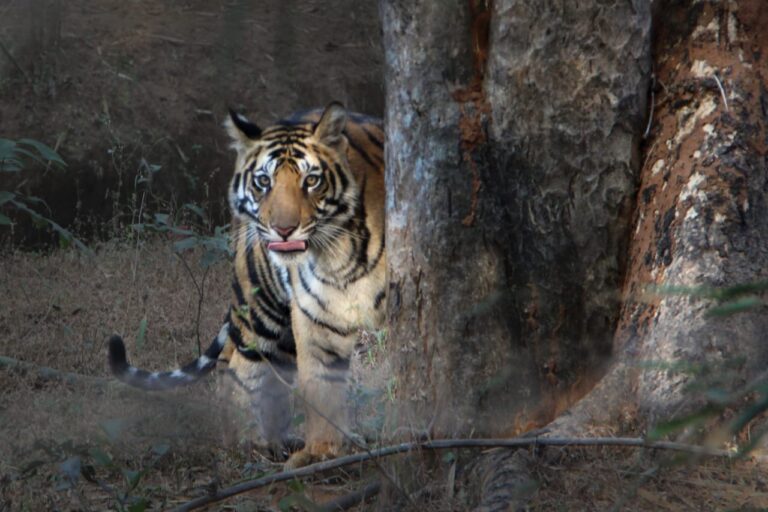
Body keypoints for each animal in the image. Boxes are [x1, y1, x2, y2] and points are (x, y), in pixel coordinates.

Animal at [108, 102, 386, 469]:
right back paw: (249, 443)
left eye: (312, 180)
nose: (283, 229)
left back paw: (276, 440)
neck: (339, 249)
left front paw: (326, 452)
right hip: (261, 302)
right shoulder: (316, 312)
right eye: (263, 181)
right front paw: (320, 455)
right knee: (239, 363)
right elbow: (321, 379)